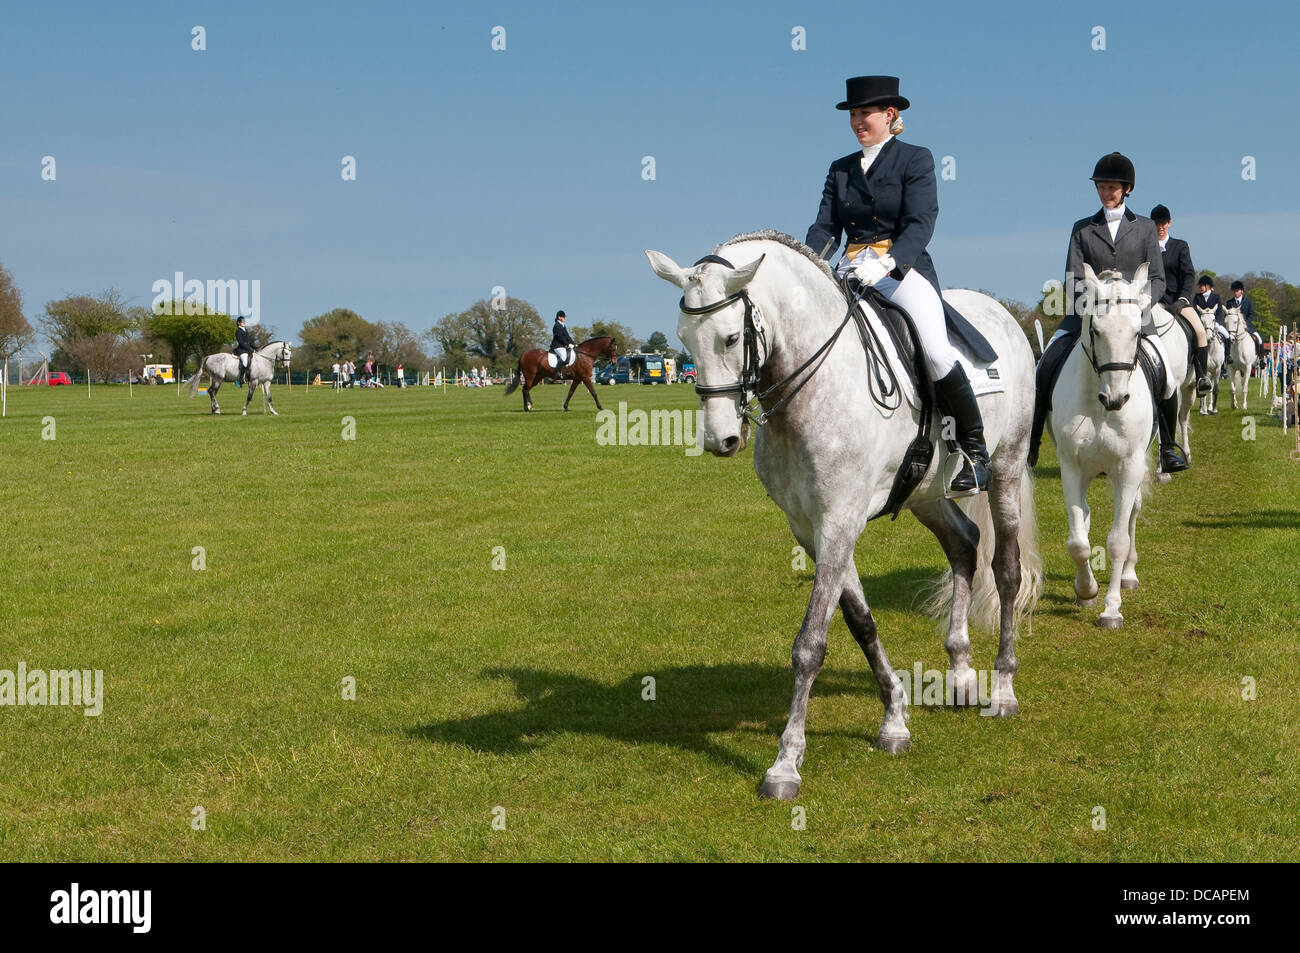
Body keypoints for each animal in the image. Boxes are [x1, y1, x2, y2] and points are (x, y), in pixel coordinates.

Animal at [644, 232, 1040, 800]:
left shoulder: (839, 520)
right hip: (924, 493)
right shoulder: (812, 527)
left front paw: (785, 764)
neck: (813, 384)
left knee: (1006, 570)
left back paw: (1003, 689)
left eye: (729, 338)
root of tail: (1001, 313)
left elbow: (810, 644)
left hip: (1005, 469)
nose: (721, 440)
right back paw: (962, 674)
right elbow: (859, 621)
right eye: (683, 339)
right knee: (964, 544)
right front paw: (894, 718)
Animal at [1045, 263, 1159, 629]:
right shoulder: (1071, 466)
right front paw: (1086, 590)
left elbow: (1118, 540)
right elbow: (1077, 541)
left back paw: (1128, 576)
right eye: (1095, 330)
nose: (1115, 399)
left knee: (1133, 512)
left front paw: (1111, 609)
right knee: (1085, 516)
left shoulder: (1128, 468)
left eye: (1137, 333)